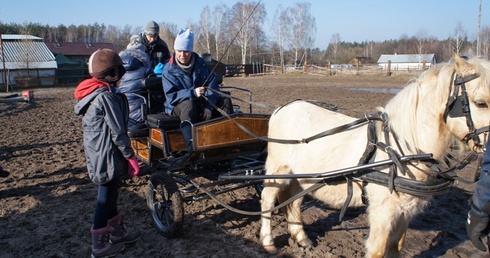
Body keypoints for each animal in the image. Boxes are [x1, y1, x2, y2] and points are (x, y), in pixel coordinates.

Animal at [260, 55, 490, 256]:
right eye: (481, 103)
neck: (401, 150)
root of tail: (283, 108)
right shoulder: (383, 212)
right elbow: (378, 250)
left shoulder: (405, 211)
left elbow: (396, 247)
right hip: (278, 170)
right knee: (268, 199)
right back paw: (268, 242)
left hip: (302, 176)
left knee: (293, 202)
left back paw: (301, 237)